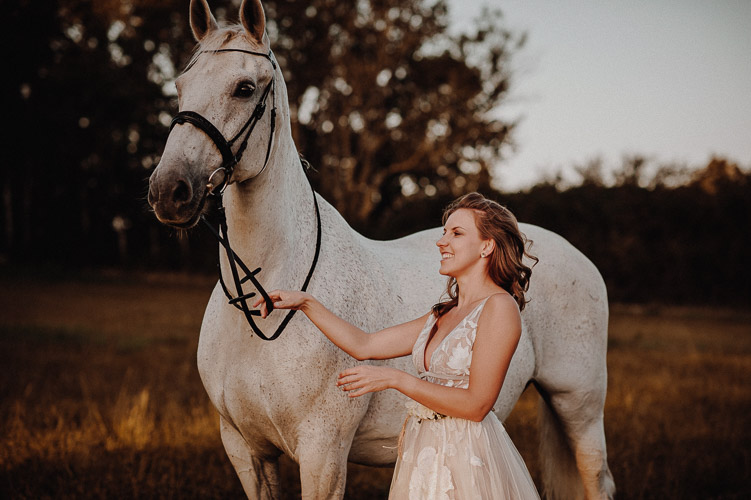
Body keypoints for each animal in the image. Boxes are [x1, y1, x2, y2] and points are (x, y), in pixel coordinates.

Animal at [148, 1, 616, 498]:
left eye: (244, 88)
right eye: (180, 85)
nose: (169, 191)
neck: (260, 309)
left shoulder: (323, 453)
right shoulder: (245, 450)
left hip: (579, 406)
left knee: (595, 476)